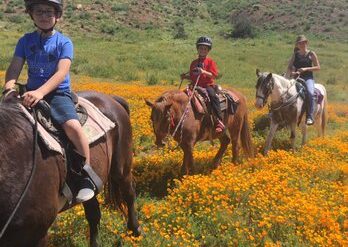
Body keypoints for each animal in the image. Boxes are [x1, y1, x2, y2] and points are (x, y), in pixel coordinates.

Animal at [1, 90, 141, 247]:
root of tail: (112, 99)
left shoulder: (37, 234)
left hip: (121, 169)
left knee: (129, 194)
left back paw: (135, 231)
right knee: (94, 214)